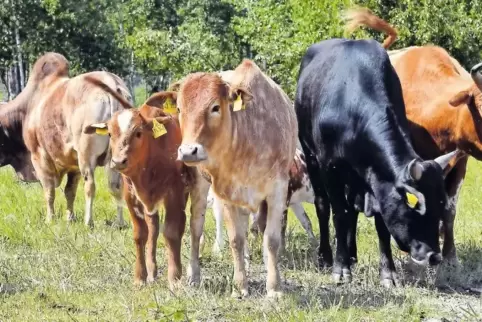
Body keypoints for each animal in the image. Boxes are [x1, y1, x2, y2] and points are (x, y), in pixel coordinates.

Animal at [83, 78, 211, 290]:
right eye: (109, 134)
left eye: (138, 133)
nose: (118, 161)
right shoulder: (131, 196)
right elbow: (141, 234)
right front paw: (140, 277)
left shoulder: (175, 192)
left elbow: (172, 232)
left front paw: (174, 277)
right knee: (153, 229)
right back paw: (152, 271)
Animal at [175, 59, 300, 296]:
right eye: (179, 109)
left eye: (215, 107)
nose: (188, 151)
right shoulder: (225, 192)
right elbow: (236, 240)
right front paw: (240, 285)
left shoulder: (278, 190)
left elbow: (271, 240)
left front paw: (274, 287)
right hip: (200, 182)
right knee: (196, 228)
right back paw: (194, 275)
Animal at [296, 37, 462, 286]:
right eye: (418, 209)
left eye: (441, 205)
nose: (434, 256)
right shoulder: (330, 168)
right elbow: (339, 214)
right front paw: (340, 268)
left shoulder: (378, 180)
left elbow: (379, 222)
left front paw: (388, 273)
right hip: (310, 156)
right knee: (323, 206)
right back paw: (326, 256)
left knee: (352, 209)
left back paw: (352, 254)